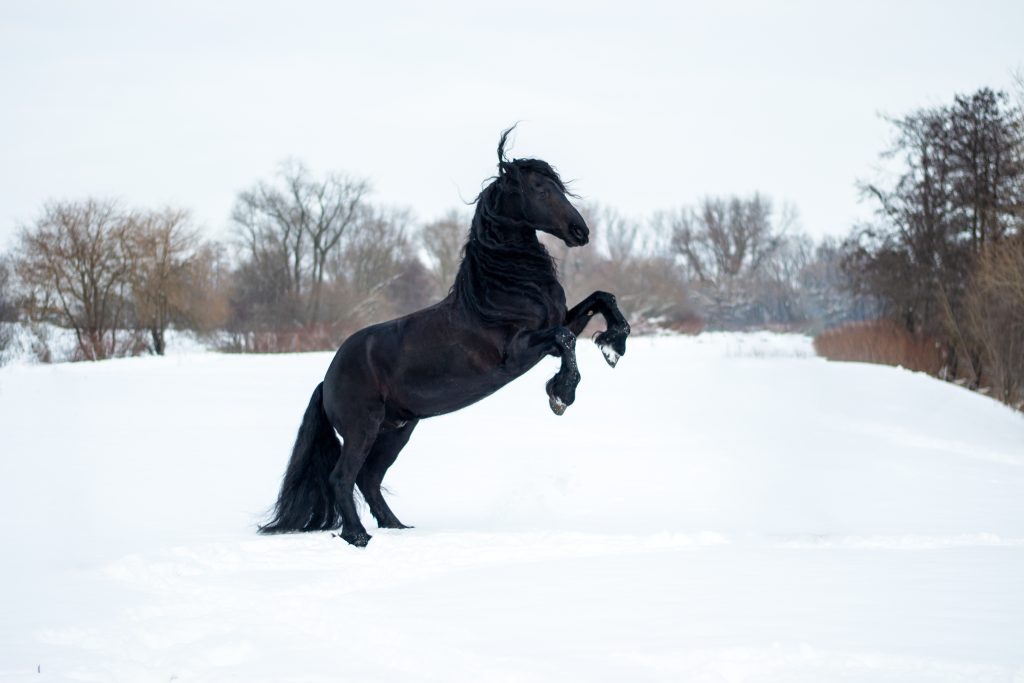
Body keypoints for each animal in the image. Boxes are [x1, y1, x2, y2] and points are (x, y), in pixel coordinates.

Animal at [260, 127, 626, 548]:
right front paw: (561, 395)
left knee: (369, 479)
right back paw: (358, 536)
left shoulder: (550, 330)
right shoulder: (520, 350)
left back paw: (397, 526)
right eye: (538, 188)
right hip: (362, 429)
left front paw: (614, 345)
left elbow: (601, 299)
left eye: (558, 186)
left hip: (397, 431)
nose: (580, 232)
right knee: (343, 477)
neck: (503, 288)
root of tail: (327, 379)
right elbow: (566, 338)